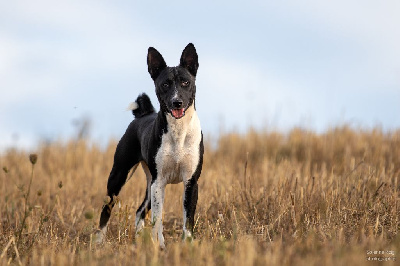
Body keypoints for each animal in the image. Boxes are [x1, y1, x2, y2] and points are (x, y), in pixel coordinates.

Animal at [95, 42, 203, 248]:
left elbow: (188, 220)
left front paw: (187, 245)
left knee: (139, 211)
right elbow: (157, 219)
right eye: (165, 84)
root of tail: (143, 114)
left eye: (185, 82)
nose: (177, 102)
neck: (178, 133)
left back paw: (139, 242)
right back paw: (99, 242)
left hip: (148, 183)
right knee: (107, 207)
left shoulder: (190, 181)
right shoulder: (159, 182)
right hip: (120, 175)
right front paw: (160, 245)